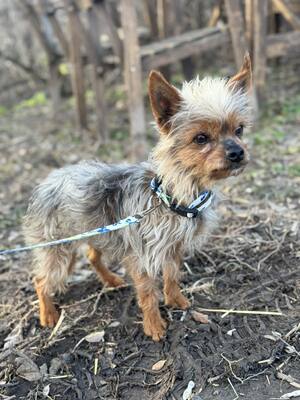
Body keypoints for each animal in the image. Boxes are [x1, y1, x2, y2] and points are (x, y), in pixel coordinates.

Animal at [24, 53, 252, 340]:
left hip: (96, 232)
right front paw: (154, 325)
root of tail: (45, 182)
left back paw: (110, 280)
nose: (238, 153)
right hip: (58, 250)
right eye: (201, 138)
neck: (172, 196)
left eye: (239, 130)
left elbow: (172, 277)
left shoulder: (173, 248)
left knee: (92, 256)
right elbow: (148, 293)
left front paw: (176, 301)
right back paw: (48, 314)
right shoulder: (144, 256)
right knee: (41, 280)